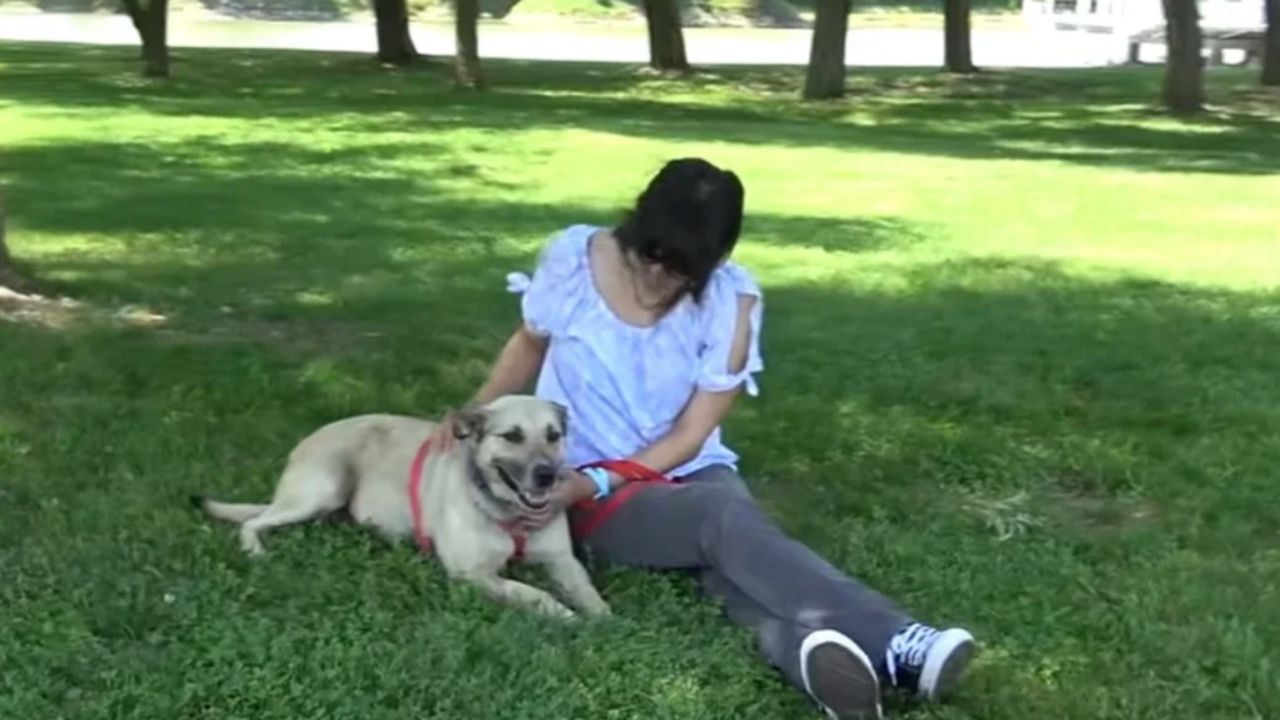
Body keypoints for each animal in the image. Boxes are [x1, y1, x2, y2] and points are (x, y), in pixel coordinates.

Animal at [193, 392, 609, 617]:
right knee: (253, 522)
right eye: (512, 436)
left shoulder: (562, 560)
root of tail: (306, 441)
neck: (509, 513)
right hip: (322, 490)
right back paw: (256, 550)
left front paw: (603, 619)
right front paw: (564, 614)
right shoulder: (471, 574)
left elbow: (587, 589)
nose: (547, 476)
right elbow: (534, 593)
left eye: (553, 436)